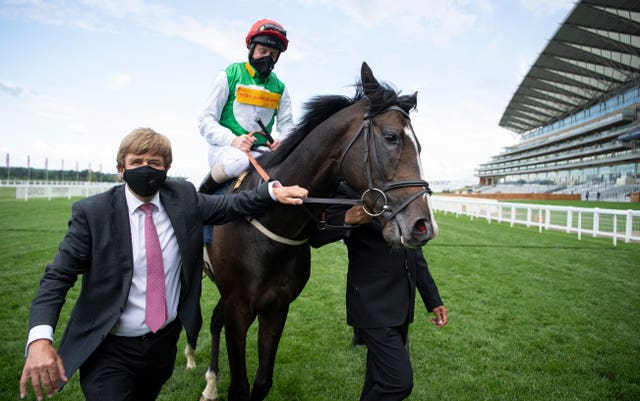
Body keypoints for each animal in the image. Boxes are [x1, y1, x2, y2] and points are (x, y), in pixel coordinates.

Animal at [185, 62, 436, 400]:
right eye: (391, 136)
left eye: (419, 145)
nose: (423, 225)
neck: (271, 222)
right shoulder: (239, 310)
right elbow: (240, 387)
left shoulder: (276, 308)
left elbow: (262, 382)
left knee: (214, 319)